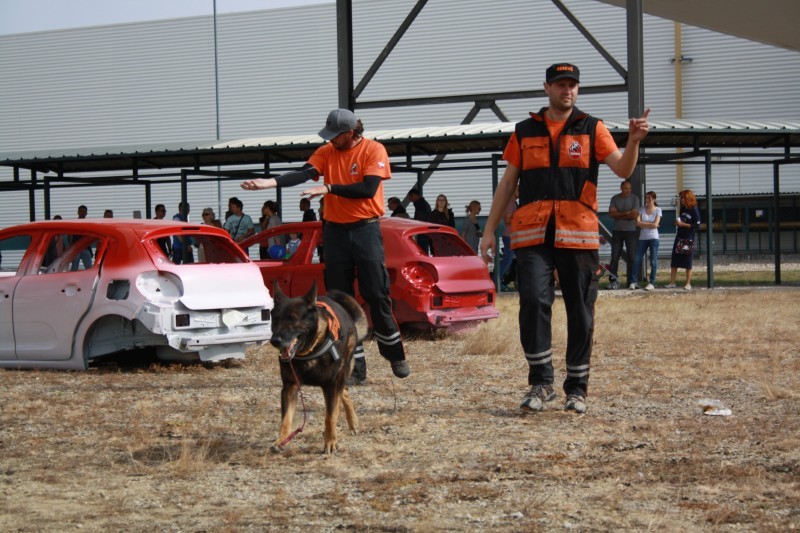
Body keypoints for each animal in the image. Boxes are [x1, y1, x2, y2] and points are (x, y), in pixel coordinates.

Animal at [269, 280, 368, 453]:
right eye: (275, 319)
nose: (275, 341)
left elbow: (330, 416)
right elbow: (286, 419)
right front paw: (281, 440)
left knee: (340, 398)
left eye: (293, 319)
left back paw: (350, 422)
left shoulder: (331, 385)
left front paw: (330, 441)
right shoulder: (290, 387)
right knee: (344, 393)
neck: (311, 350)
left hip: (341, 373)